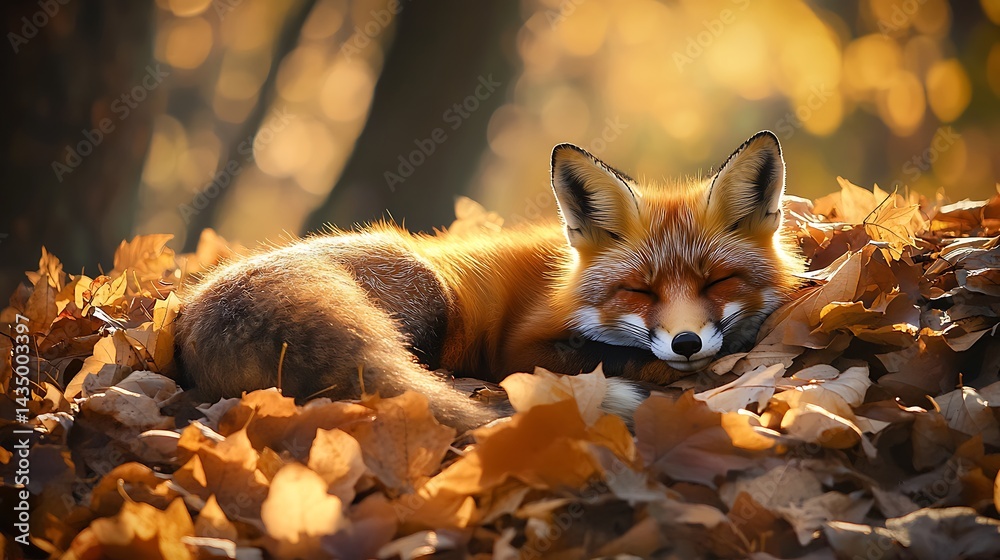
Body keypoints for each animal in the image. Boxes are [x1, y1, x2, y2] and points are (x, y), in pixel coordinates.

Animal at [174, 131, 804, 431]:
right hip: (427, 293)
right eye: (639, 291)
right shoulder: (522, 346)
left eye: (717, 282)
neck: (562, 281)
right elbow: (611, 355)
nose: (687, 343)